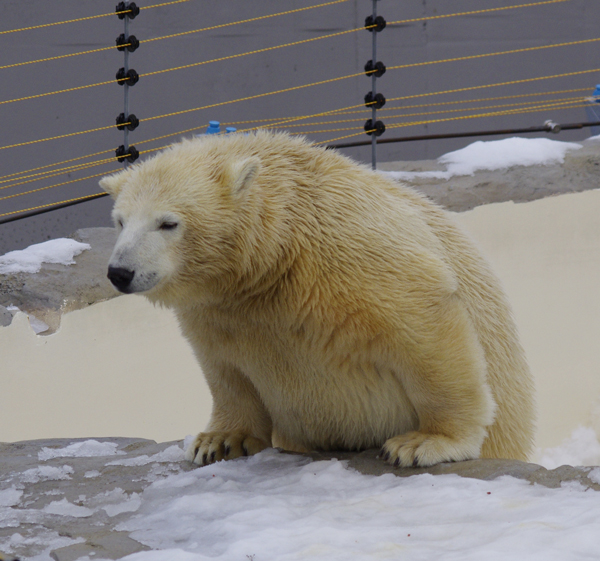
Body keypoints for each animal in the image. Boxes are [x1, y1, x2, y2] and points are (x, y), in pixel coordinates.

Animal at [102, 129, 536, 466]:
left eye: (168, 223)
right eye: (120, 220)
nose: (120, 272)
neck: (275, 254)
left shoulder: (349, 252)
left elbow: (423, 317)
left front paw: (426, 442)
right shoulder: (218, 309)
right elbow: (225, 369)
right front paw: (218, 441)